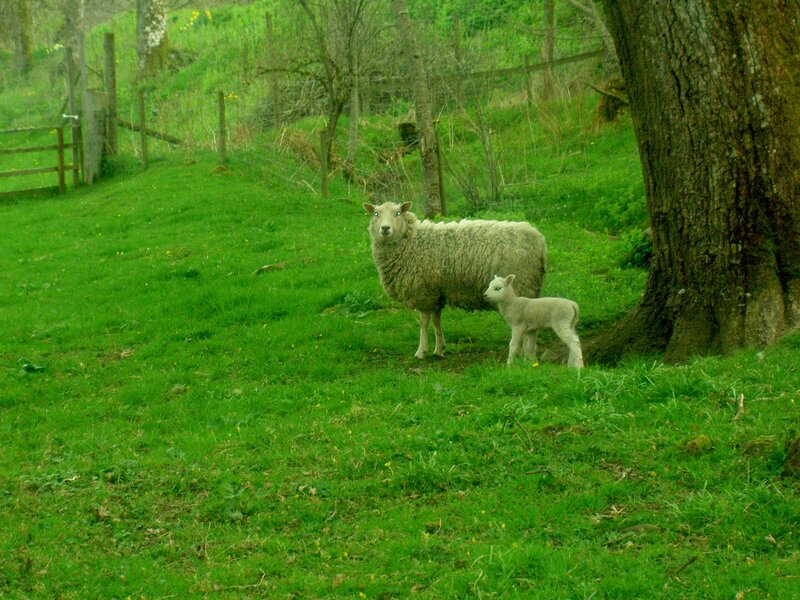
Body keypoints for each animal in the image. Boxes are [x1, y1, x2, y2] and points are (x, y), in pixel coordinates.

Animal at [362, 201, 547, 358]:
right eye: (376, 214)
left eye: (398, 213)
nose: (385, 229)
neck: (412, 242)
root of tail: (539, 240)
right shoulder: (436, 292)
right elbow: (436, 321)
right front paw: (439, 349)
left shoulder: (423, 292)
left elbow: (423, 322)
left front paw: (421, 351)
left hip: (522, 285)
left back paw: (523, 352)